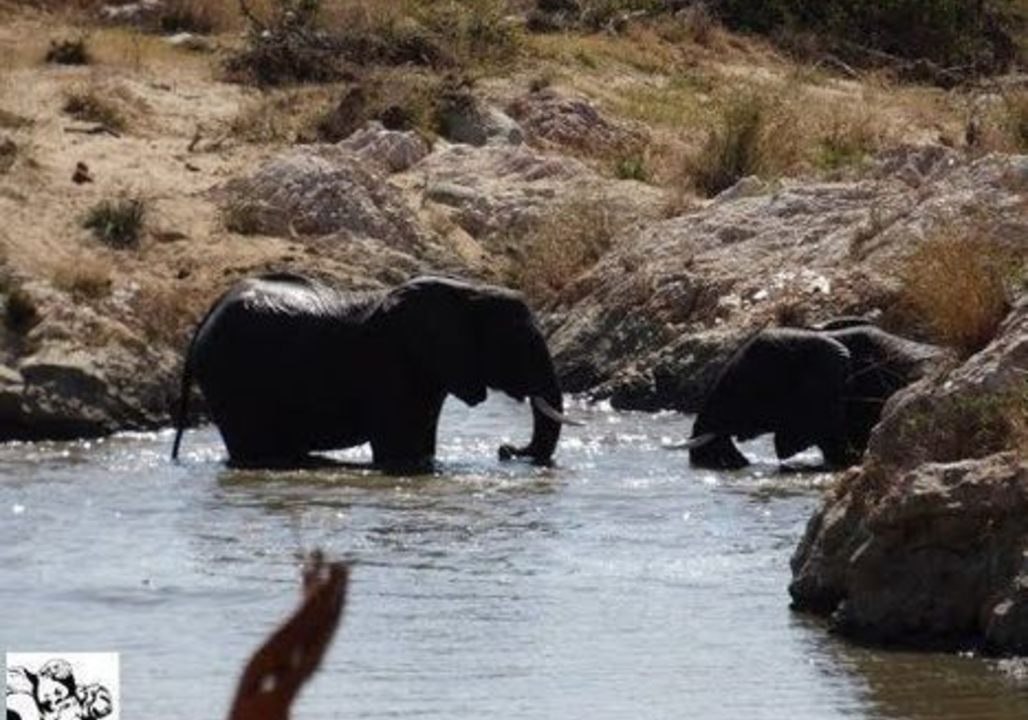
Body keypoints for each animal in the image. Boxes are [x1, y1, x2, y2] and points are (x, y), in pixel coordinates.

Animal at [171, 273, 577, 469]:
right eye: (517, 343)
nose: (505, 449)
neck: (467, 290)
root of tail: (201, 323)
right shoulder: (392, 365)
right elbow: (398, 449)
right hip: (232, 380)